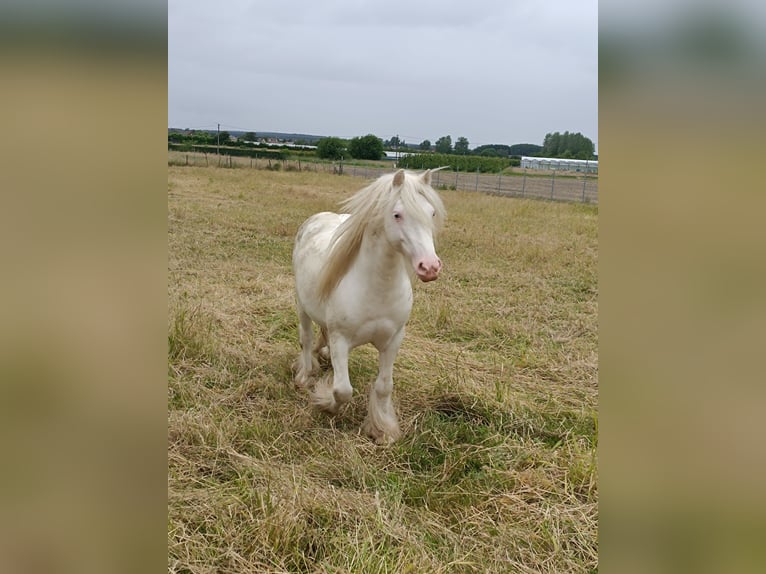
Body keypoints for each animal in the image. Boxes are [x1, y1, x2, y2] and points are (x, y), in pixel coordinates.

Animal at [294, 168, 450, 446]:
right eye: (397, 215)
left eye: (431, 213)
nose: (430, 267)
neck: (376, 288)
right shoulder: (341, 340)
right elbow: (342, 390)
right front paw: (325, 402)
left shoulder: (393, 340)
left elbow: (384, 386)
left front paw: (383, 430)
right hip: (302, 307)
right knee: (307, 339)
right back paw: (305, 375)